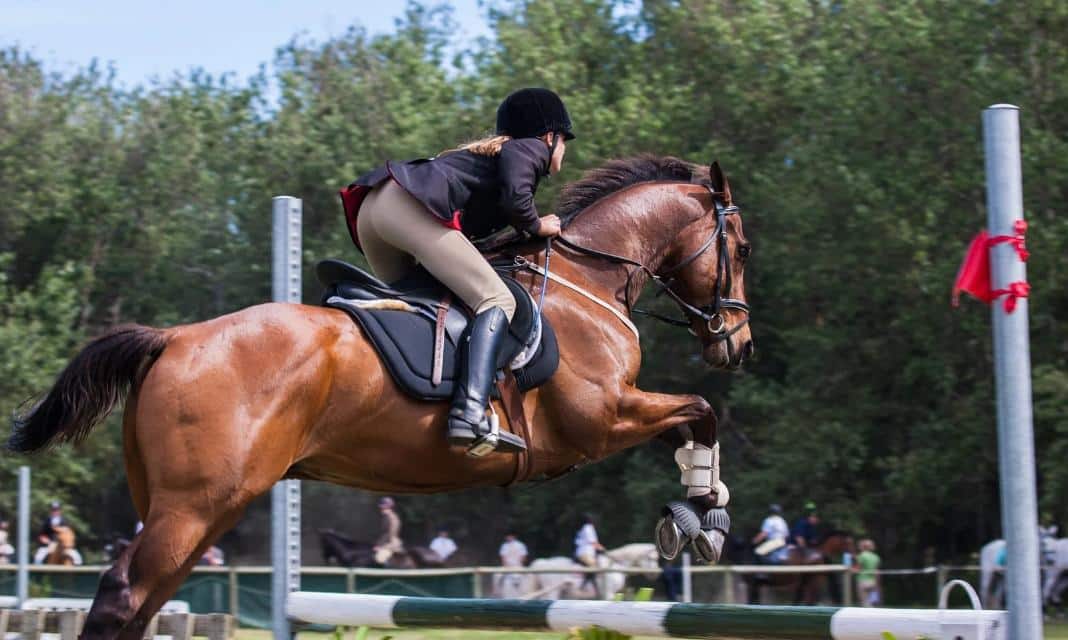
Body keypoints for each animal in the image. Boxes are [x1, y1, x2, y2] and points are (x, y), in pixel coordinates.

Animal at [10, 155, 760, 640]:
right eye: (743, 247)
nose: (739, 343)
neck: (586, 281)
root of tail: (172, 339)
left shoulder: (613, 416)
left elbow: (690, 422)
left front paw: (703, 507)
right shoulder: (598, 421)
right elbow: (700, 411)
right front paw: (702, 517)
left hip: (189, 509)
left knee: (145, 603)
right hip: (194, 507)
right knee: (121, 598)